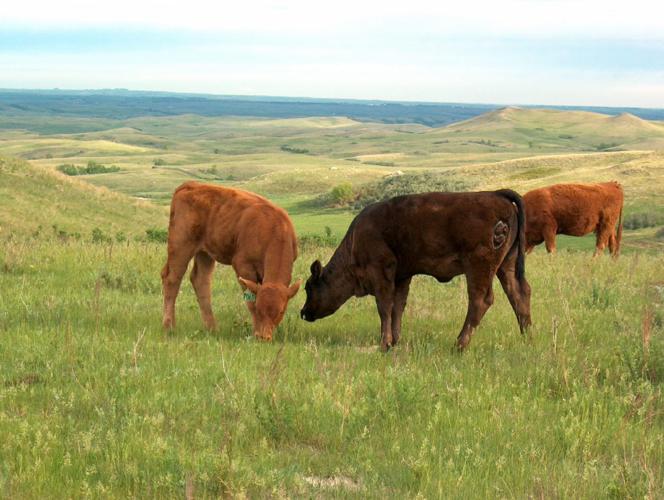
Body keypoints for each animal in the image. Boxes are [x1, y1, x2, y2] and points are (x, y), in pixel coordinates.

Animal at [161, 181, 301, 340]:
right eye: (259, 309)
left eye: (281, 311)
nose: (264, 337)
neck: (274, 230)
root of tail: (190, 184)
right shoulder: (243, 265)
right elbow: (250, 301)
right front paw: (255, 331)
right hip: (180, 245)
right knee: (171, 279)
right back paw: (169, 326)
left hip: (205, 252)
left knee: (200, 280)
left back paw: (212, 328)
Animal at [300, 190, 532, 352]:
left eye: (309, 288)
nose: (303, 312)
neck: (355, 241)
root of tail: (496, 194)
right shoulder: (402, 277)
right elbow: (397, 307)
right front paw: (394, 342)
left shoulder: (381, 272)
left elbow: (384, 307)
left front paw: (384, 344)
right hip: (506, 265)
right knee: (520, 293)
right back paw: (527, 337)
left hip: (478, 266)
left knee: (480, 300)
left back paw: (458, 345)